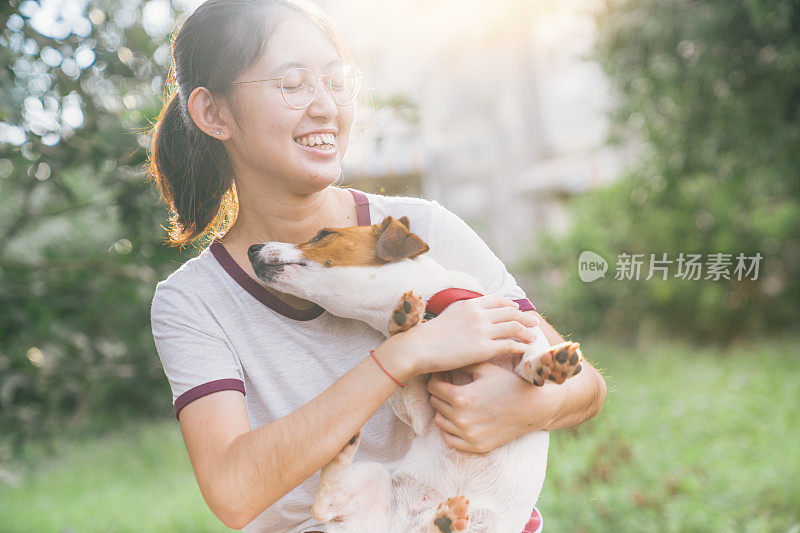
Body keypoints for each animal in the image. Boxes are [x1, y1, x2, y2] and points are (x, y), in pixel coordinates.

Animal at [247, 214, 584, 528]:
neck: (436, 308)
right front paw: (403, 325)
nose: (252, 248)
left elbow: (531, 353)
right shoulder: (421, 414)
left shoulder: (517, 327)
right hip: (371, 475)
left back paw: (445, 520)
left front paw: (549, 363)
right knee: (324, 505)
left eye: (323, 234)